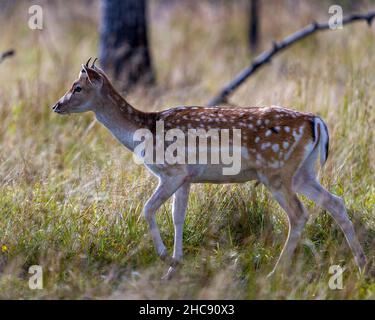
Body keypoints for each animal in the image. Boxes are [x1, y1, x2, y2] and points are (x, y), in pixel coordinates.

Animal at [53, 58, 368, 278]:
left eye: (77, 87)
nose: (56, 105)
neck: (142, 132)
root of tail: (316, 121)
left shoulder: (173, 171)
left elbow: (148, 209)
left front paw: (166, 257)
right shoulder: (188, 178)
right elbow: (178, 216)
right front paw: (174, 267)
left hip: (275, 172)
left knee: (299, 214)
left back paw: (276, 272)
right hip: (302, 172)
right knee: (335, 202)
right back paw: (362, 264)